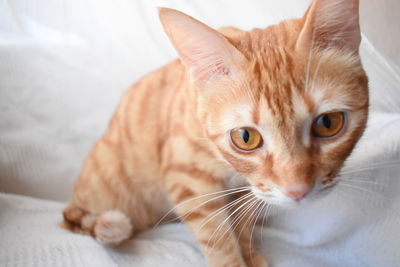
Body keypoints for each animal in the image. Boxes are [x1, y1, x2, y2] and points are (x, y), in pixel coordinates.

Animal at [63, 0, 368, 266]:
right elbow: (217, 237)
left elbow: (243, 223)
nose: (297, 192)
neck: (230, 169)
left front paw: (249, 253)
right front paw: (234, 261)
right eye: (246, 137)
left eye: (327, 123)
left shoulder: (249, 189)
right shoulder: (188, 181)